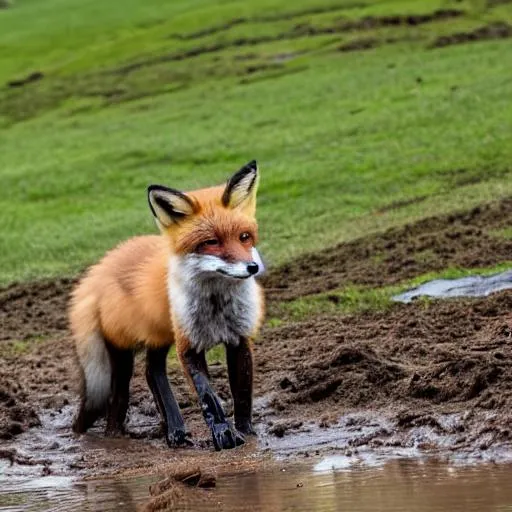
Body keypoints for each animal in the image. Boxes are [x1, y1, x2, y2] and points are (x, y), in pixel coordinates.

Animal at [69, 161, 264, 452]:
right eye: (211, 242)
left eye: (244, 237)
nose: (252, 268)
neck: (216, 307)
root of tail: (99, 268)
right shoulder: (188, 344)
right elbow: (209, 396)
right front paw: (224, 435)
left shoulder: (239, 338)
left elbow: (242, 393)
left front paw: (246, 431)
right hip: (124, 351)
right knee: (126, 391)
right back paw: (124, 435)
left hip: (158, 337)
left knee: (152, 372)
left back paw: (173, 429)